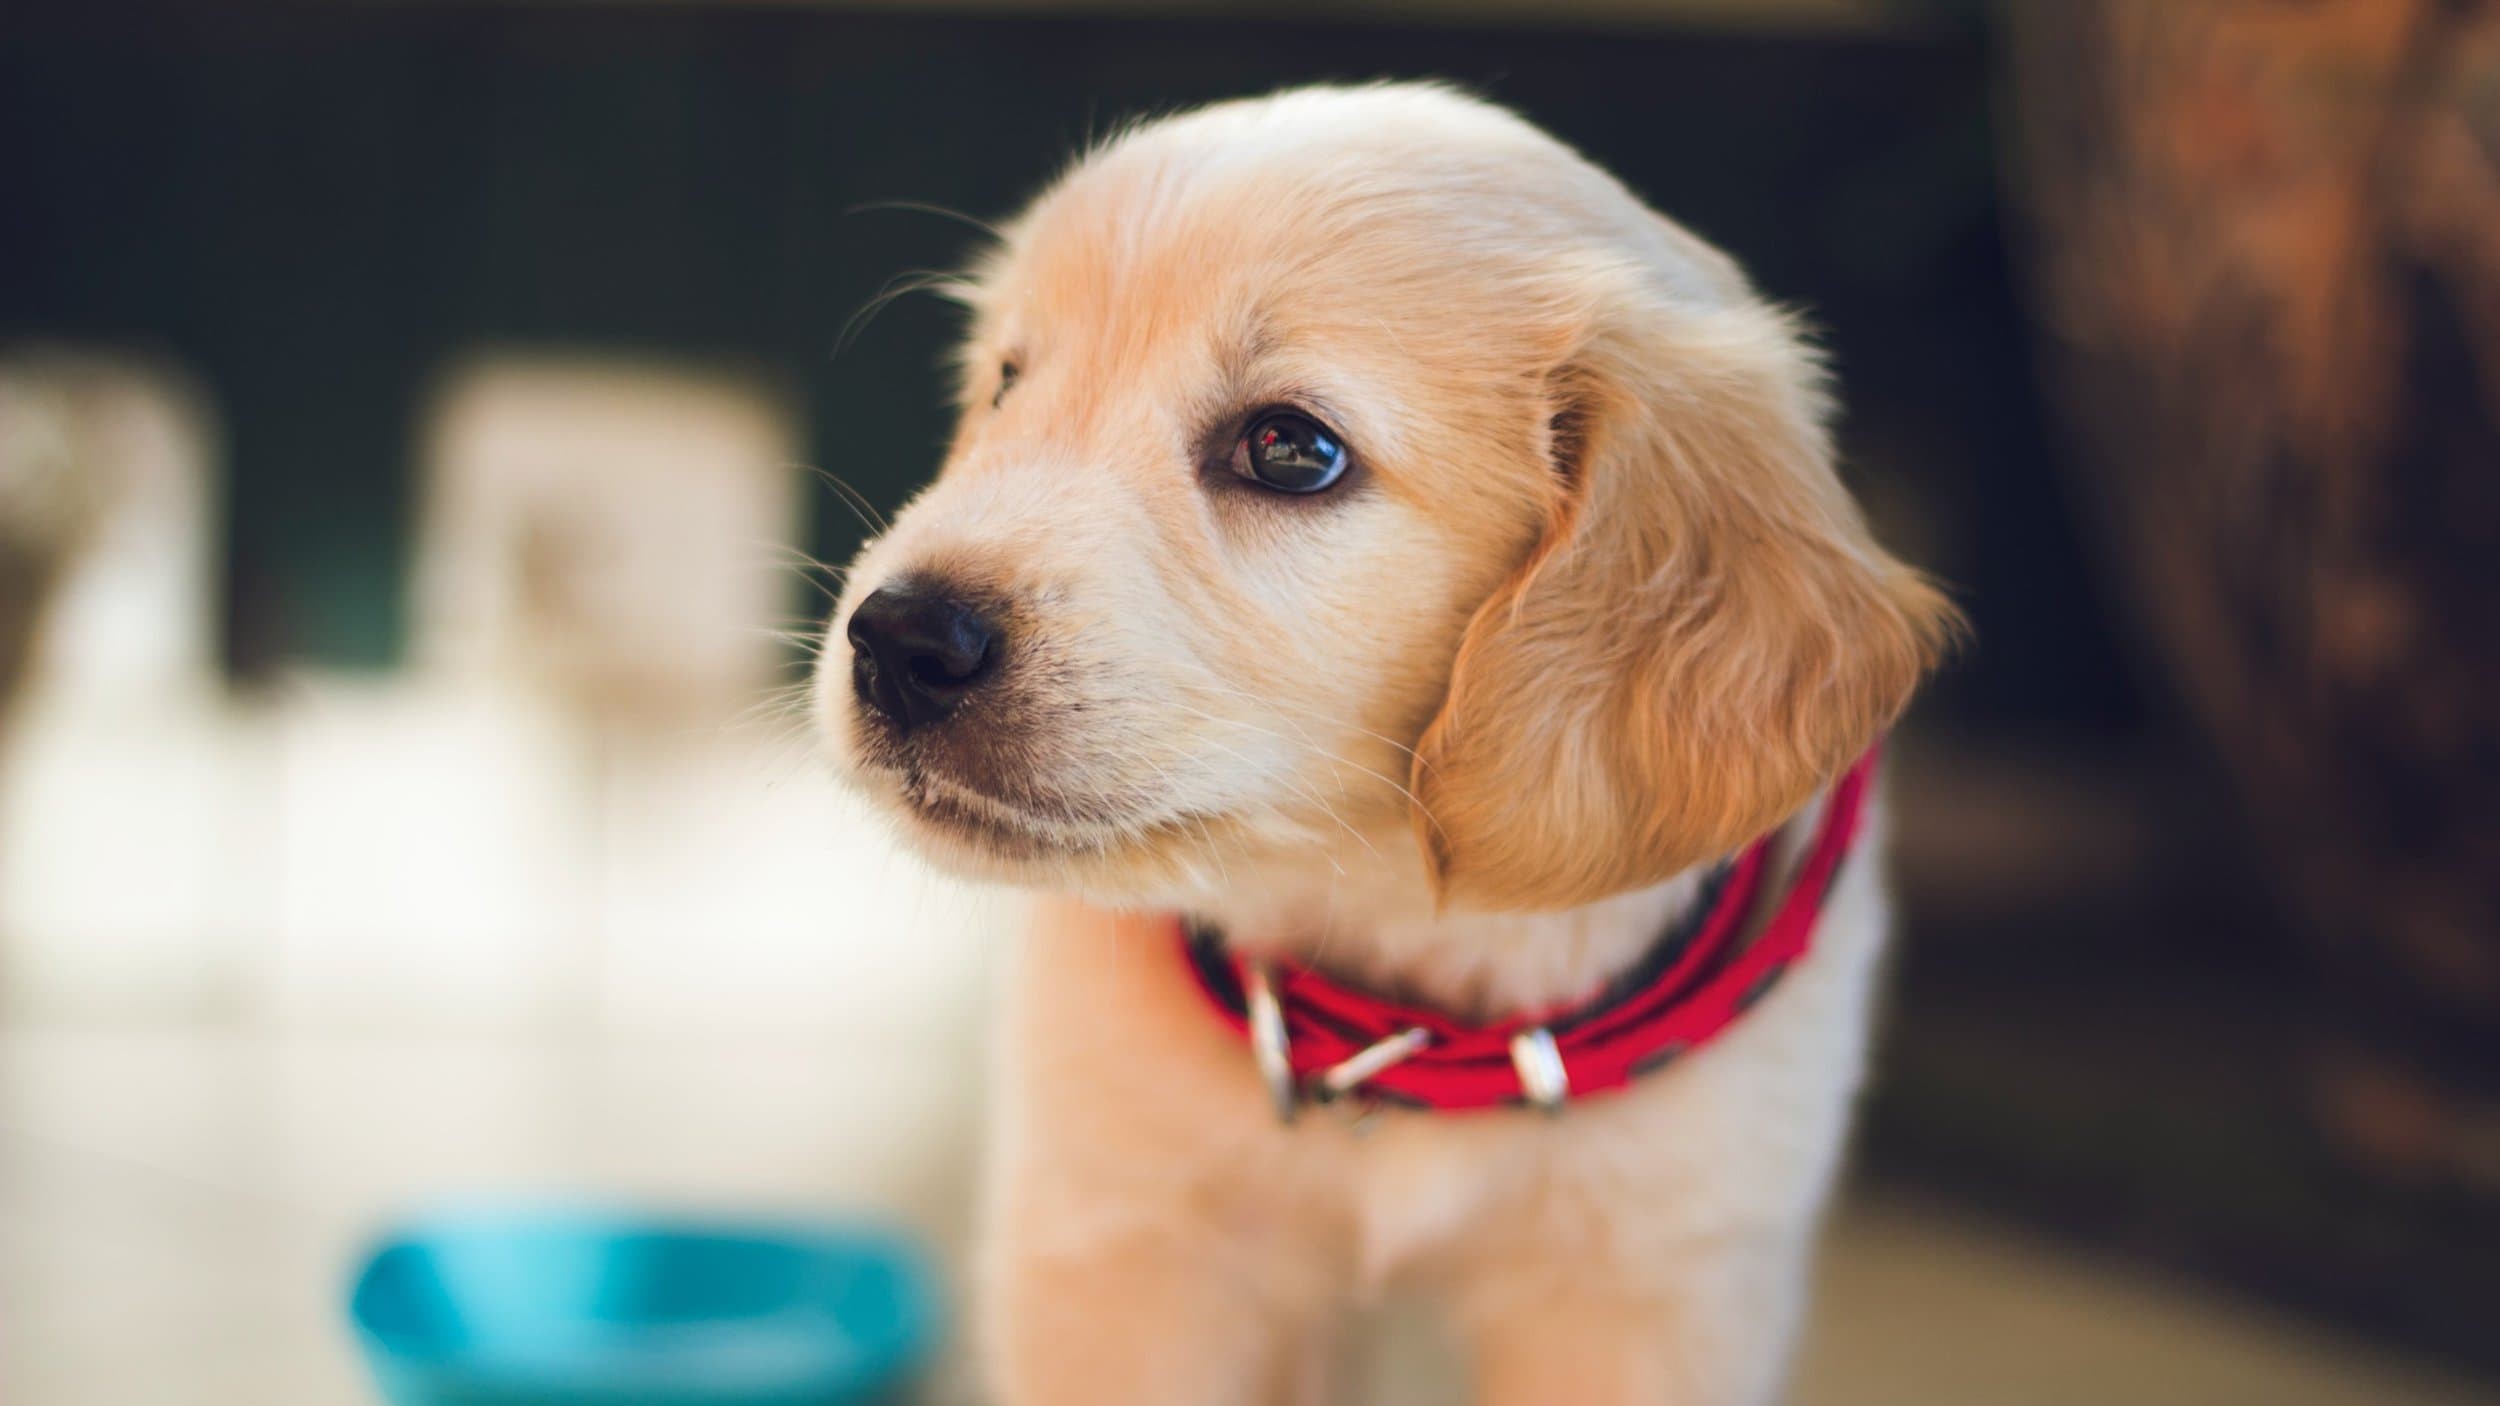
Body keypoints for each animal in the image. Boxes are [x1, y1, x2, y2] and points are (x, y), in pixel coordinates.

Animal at [815, 81, 1950, 1390]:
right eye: (1007, 382)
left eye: (1289, 448)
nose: (897, 640)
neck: (1399, 983)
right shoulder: (1123, 1243)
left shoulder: (1656, 1283)